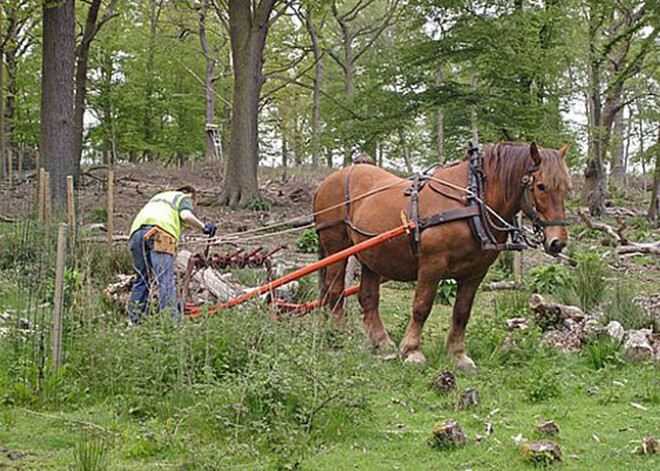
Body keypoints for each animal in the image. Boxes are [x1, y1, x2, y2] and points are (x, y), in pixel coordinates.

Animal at [312, 142, 568, 374]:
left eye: (567, 188)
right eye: (541, 186)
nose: (558, 242)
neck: (470, 201)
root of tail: (329, 180)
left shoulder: (475, 273)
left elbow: (462, 312)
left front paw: (458, 355)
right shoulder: (432, 265)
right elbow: (421, 307)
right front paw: (412, 351)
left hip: (371, 255)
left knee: (367, 297)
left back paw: (382, 342)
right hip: (336, 246)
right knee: (335, 291)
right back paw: (339, 336)